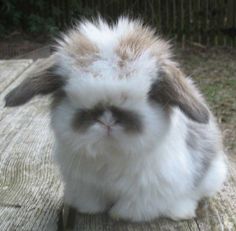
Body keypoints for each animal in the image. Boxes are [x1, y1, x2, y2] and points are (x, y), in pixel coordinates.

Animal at [5, 17, 227, 223]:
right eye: (70, 92)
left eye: (149, 93)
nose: (108, 121)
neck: (110, 153)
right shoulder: (84, 185)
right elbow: (91, 202)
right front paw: (90, 211)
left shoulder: (148, 191)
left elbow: (133, 208)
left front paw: (118, 215)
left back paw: (181, 211)